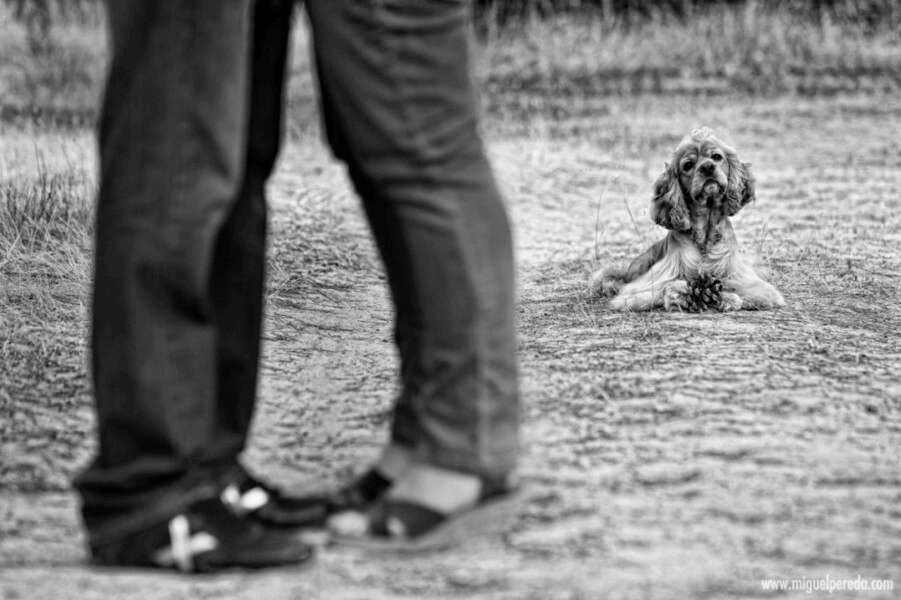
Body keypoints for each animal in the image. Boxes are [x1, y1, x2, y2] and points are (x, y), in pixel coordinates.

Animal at [592, 128, 780, 312]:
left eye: (717, 157)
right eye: (688, 165)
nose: (707, 167)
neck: (704, 236)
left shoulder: (744, 277)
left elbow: (739, 285)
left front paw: (726, 298)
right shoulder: (650, 282)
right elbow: (657, 289)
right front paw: (681, 294)